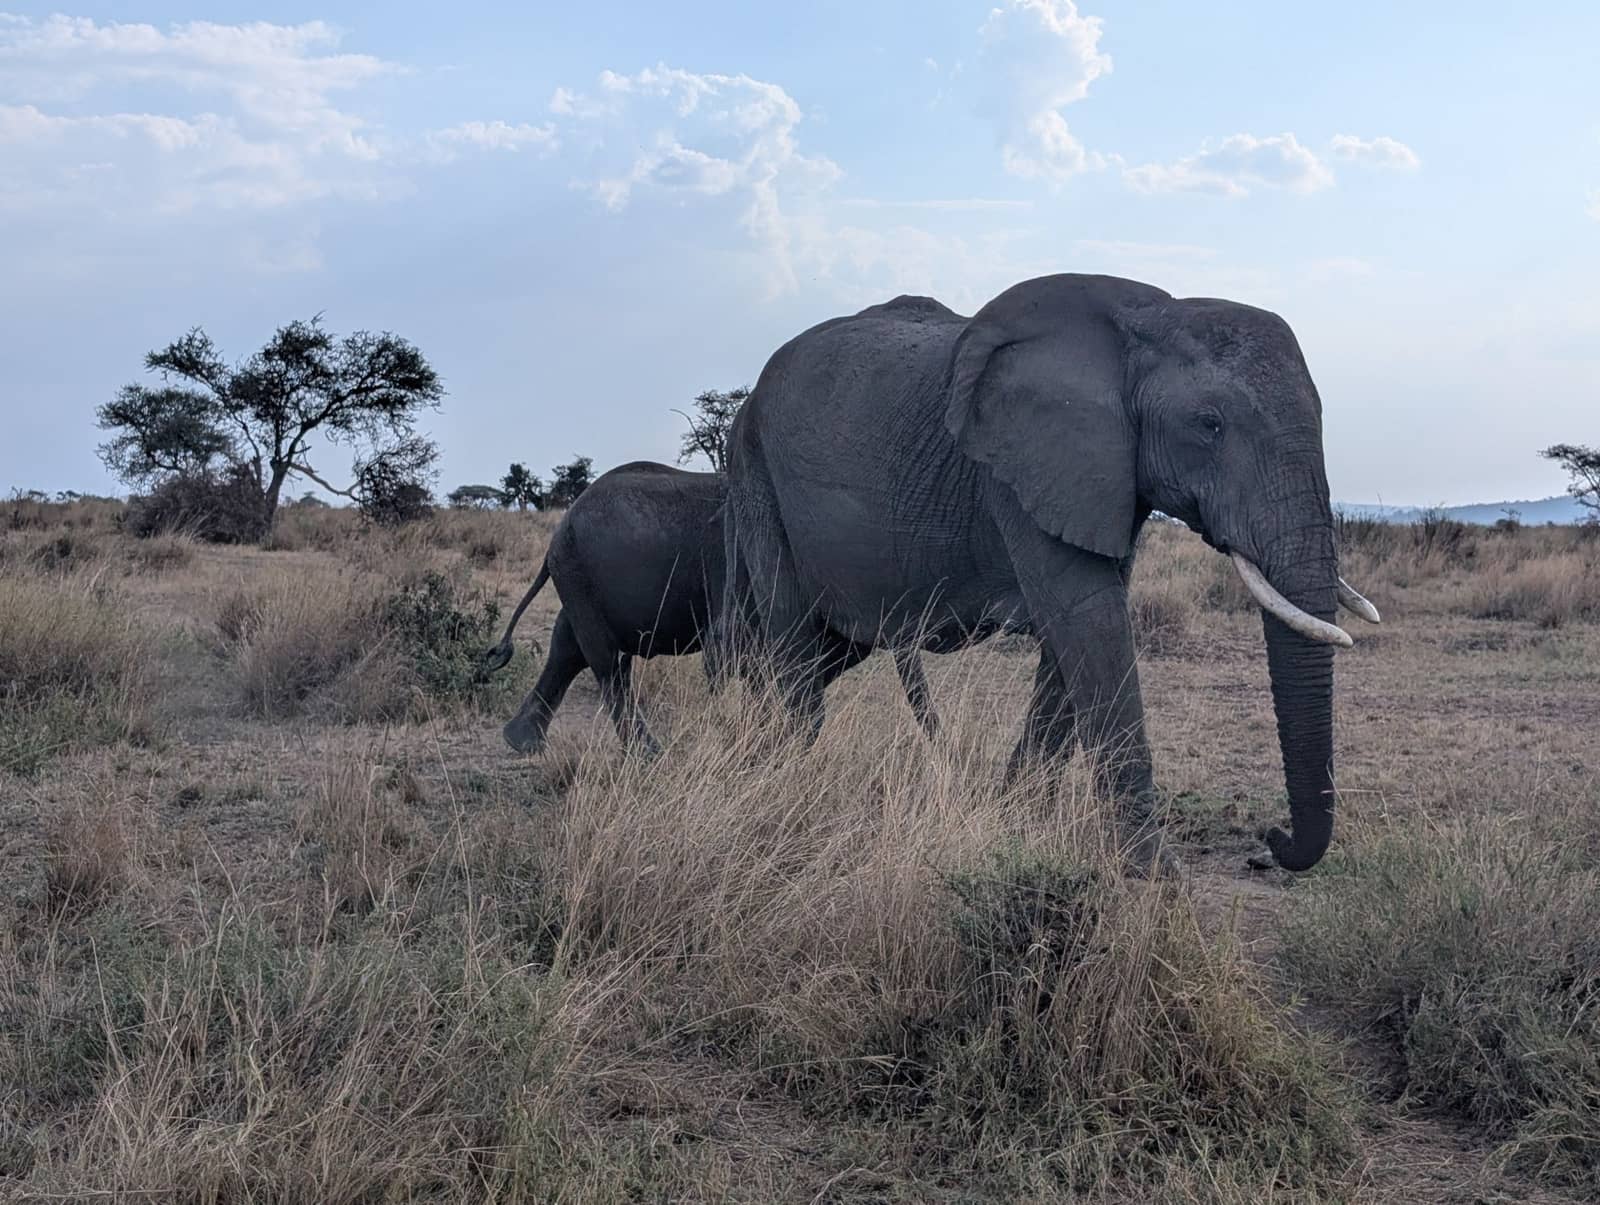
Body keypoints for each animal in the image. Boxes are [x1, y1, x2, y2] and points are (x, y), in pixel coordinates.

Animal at [483, 460, 939, 756]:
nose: (942, 751)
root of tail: (559, 529)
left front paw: (763, 741)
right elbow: (742, 655)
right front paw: (755, 745)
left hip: (580, 579)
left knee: (568, 648)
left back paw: (521, 744)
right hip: (578, 572)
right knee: (609, 663)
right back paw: (651, 756)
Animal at [722, 276, 1379, 873]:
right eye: (1209, 424)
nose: (1269, 843)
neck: (1150, 318)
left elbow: (1079, 635)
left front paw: (1018, 829)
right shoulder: (1019, 469)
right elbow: (1089, 618)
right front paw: (1152, 879)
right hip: (753, 467)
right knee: (792, 639)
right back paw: (789, 780)